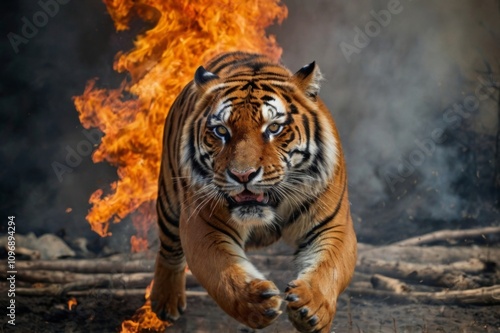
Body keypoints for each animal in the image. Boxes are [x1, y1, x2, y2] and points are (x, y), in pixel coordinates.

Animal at [150, 50, 358, 330]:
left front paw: (311, 307)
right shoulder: (203, 227)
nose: (243, 175)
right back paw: (165, 303)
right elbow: (223, 274)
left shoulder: (333, 226)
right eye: (221, 131)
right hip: (169, 202)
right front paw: (256, 303)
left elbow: (330, 268)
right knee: (169, 251)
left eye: (273, 128)